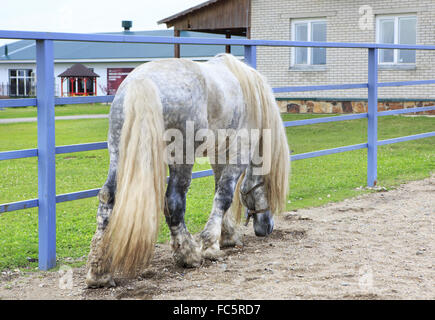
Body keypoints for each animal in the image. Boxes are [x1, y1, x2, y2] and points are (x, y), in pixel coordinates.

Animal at [85, 53, 290, 288]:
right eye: (271, 188)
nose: (267, 227)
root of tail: (142, 81)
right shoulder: (240, 151)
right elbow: (225, 195)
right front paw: (210, 245)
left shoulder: (219, 153)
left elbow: (220, 191)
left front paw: (227, 235)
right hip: (181, 158)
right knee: (174, 201)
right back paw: (188, 254)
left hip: (118, 153)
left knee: (107, 198)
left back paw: (99, 272)